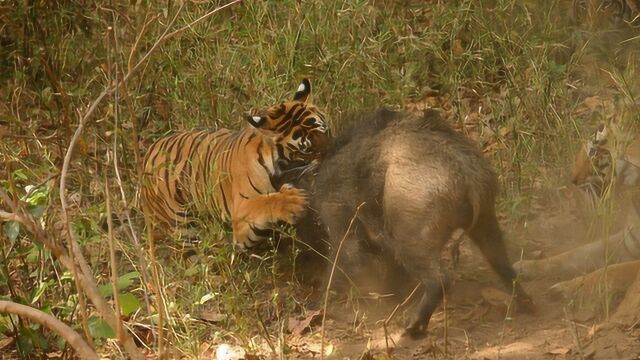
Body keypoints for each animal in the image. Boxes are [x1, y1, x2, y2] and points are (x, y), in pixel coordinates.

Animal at [140, 78, 330, 250]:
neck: (282, 167)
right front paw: (293, 201)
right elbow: (265, 202)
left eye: (326, 132)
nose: (331, 155)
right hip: (181, 227)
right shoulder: (241, 216)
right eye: (307, 149)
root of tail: (150, 149)